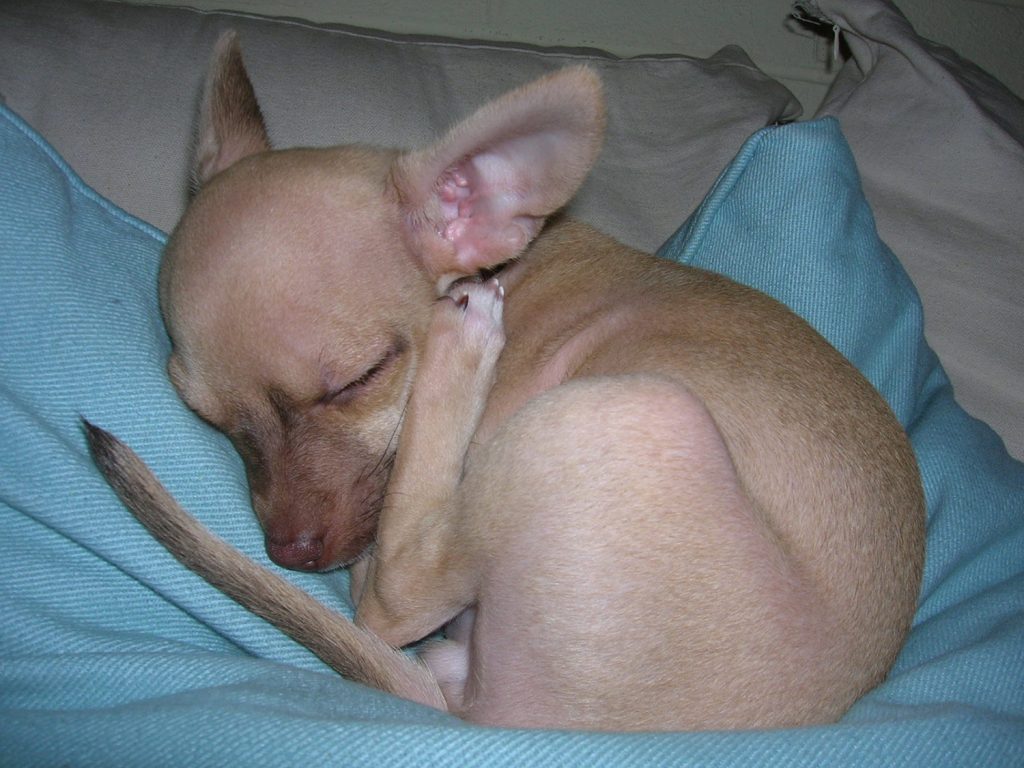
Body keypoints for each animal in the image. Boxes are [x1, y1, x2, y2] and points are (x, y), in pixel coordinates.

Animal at [88, 34, 929, 733]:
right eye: (208, 419)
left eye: (358, 381)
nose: (290, 553)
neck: (512, 266)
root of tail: (514, 720)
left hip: (627, 413)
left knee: (391, 599)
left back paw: (457, 357)